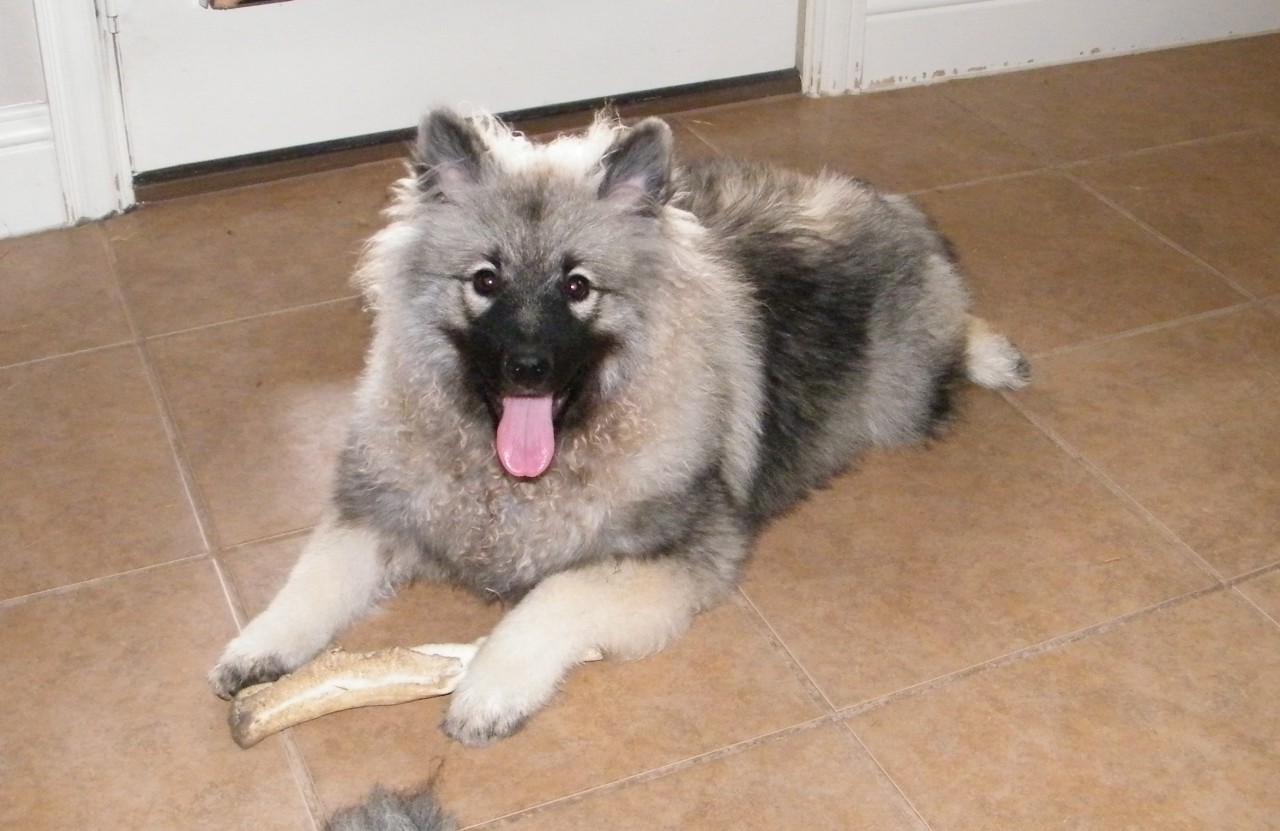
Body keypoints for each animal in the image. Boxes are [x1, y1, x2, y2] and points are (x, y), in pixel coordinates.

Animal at [209, 107, 1029, 754]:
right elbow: (311, 581)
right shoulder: (375, 510)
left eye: (577, 286)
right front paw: (259, 646)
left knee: (956, 335)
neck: (512, 481)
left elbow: (555, 595)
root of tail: (880, 199)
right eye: (485, 280)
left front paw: (491, 685)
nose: (528, 368)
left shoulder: (677, 557)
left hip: (901, 400)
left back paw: (997, 353)